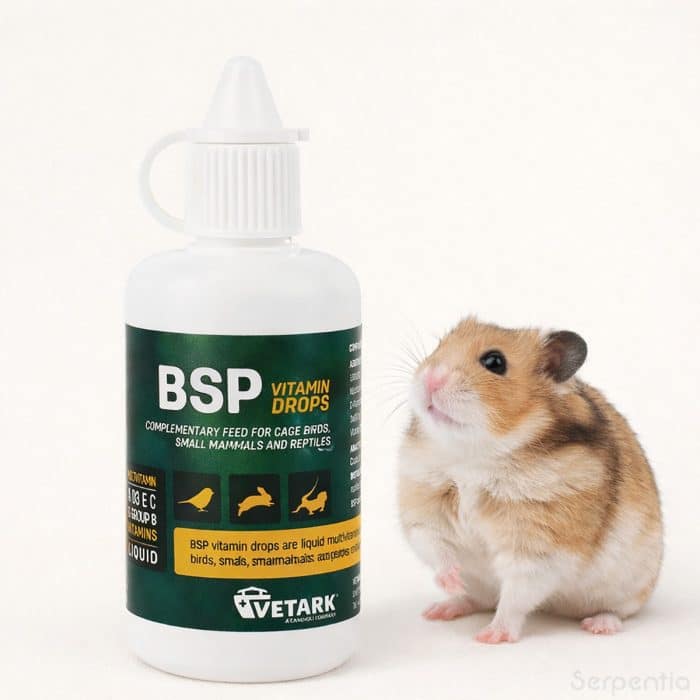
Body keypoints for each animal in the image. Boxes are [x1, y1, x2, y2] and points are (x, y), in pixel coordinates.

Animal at [398, 317, 662, 643]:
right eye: (440, 344)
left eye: (495, 362)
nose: (430, 378)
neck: (476, 454)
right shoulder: (423, 512)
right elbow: (436, 548)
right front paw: (454, 581)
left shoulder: (539, 548)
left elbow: (516, 595)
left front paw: (489, 637)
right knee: (477, 599)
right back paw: (440, 609)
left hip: (630, 585)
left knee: (618, 611)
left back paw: (599, 625)